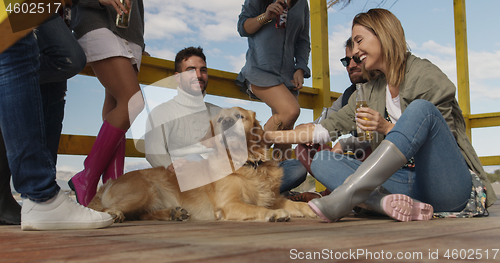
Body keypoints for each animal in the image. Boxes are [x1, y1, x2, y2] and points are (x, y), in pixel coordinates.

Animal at [89, 107, 316, 223]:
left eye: (239, 116)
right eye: (220, 119)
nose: (227, 122)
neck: (247, 165)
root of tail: (109, 183)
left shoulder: (274, 197)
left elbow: (295, 204)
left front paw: (310, 207)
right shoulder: (229, 204)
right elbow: (256, 207)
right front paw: (273, 214)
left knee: (143, 214)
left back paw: (173, 213)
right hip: (144, 190)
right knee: (106, 208)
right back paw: (114, 214)